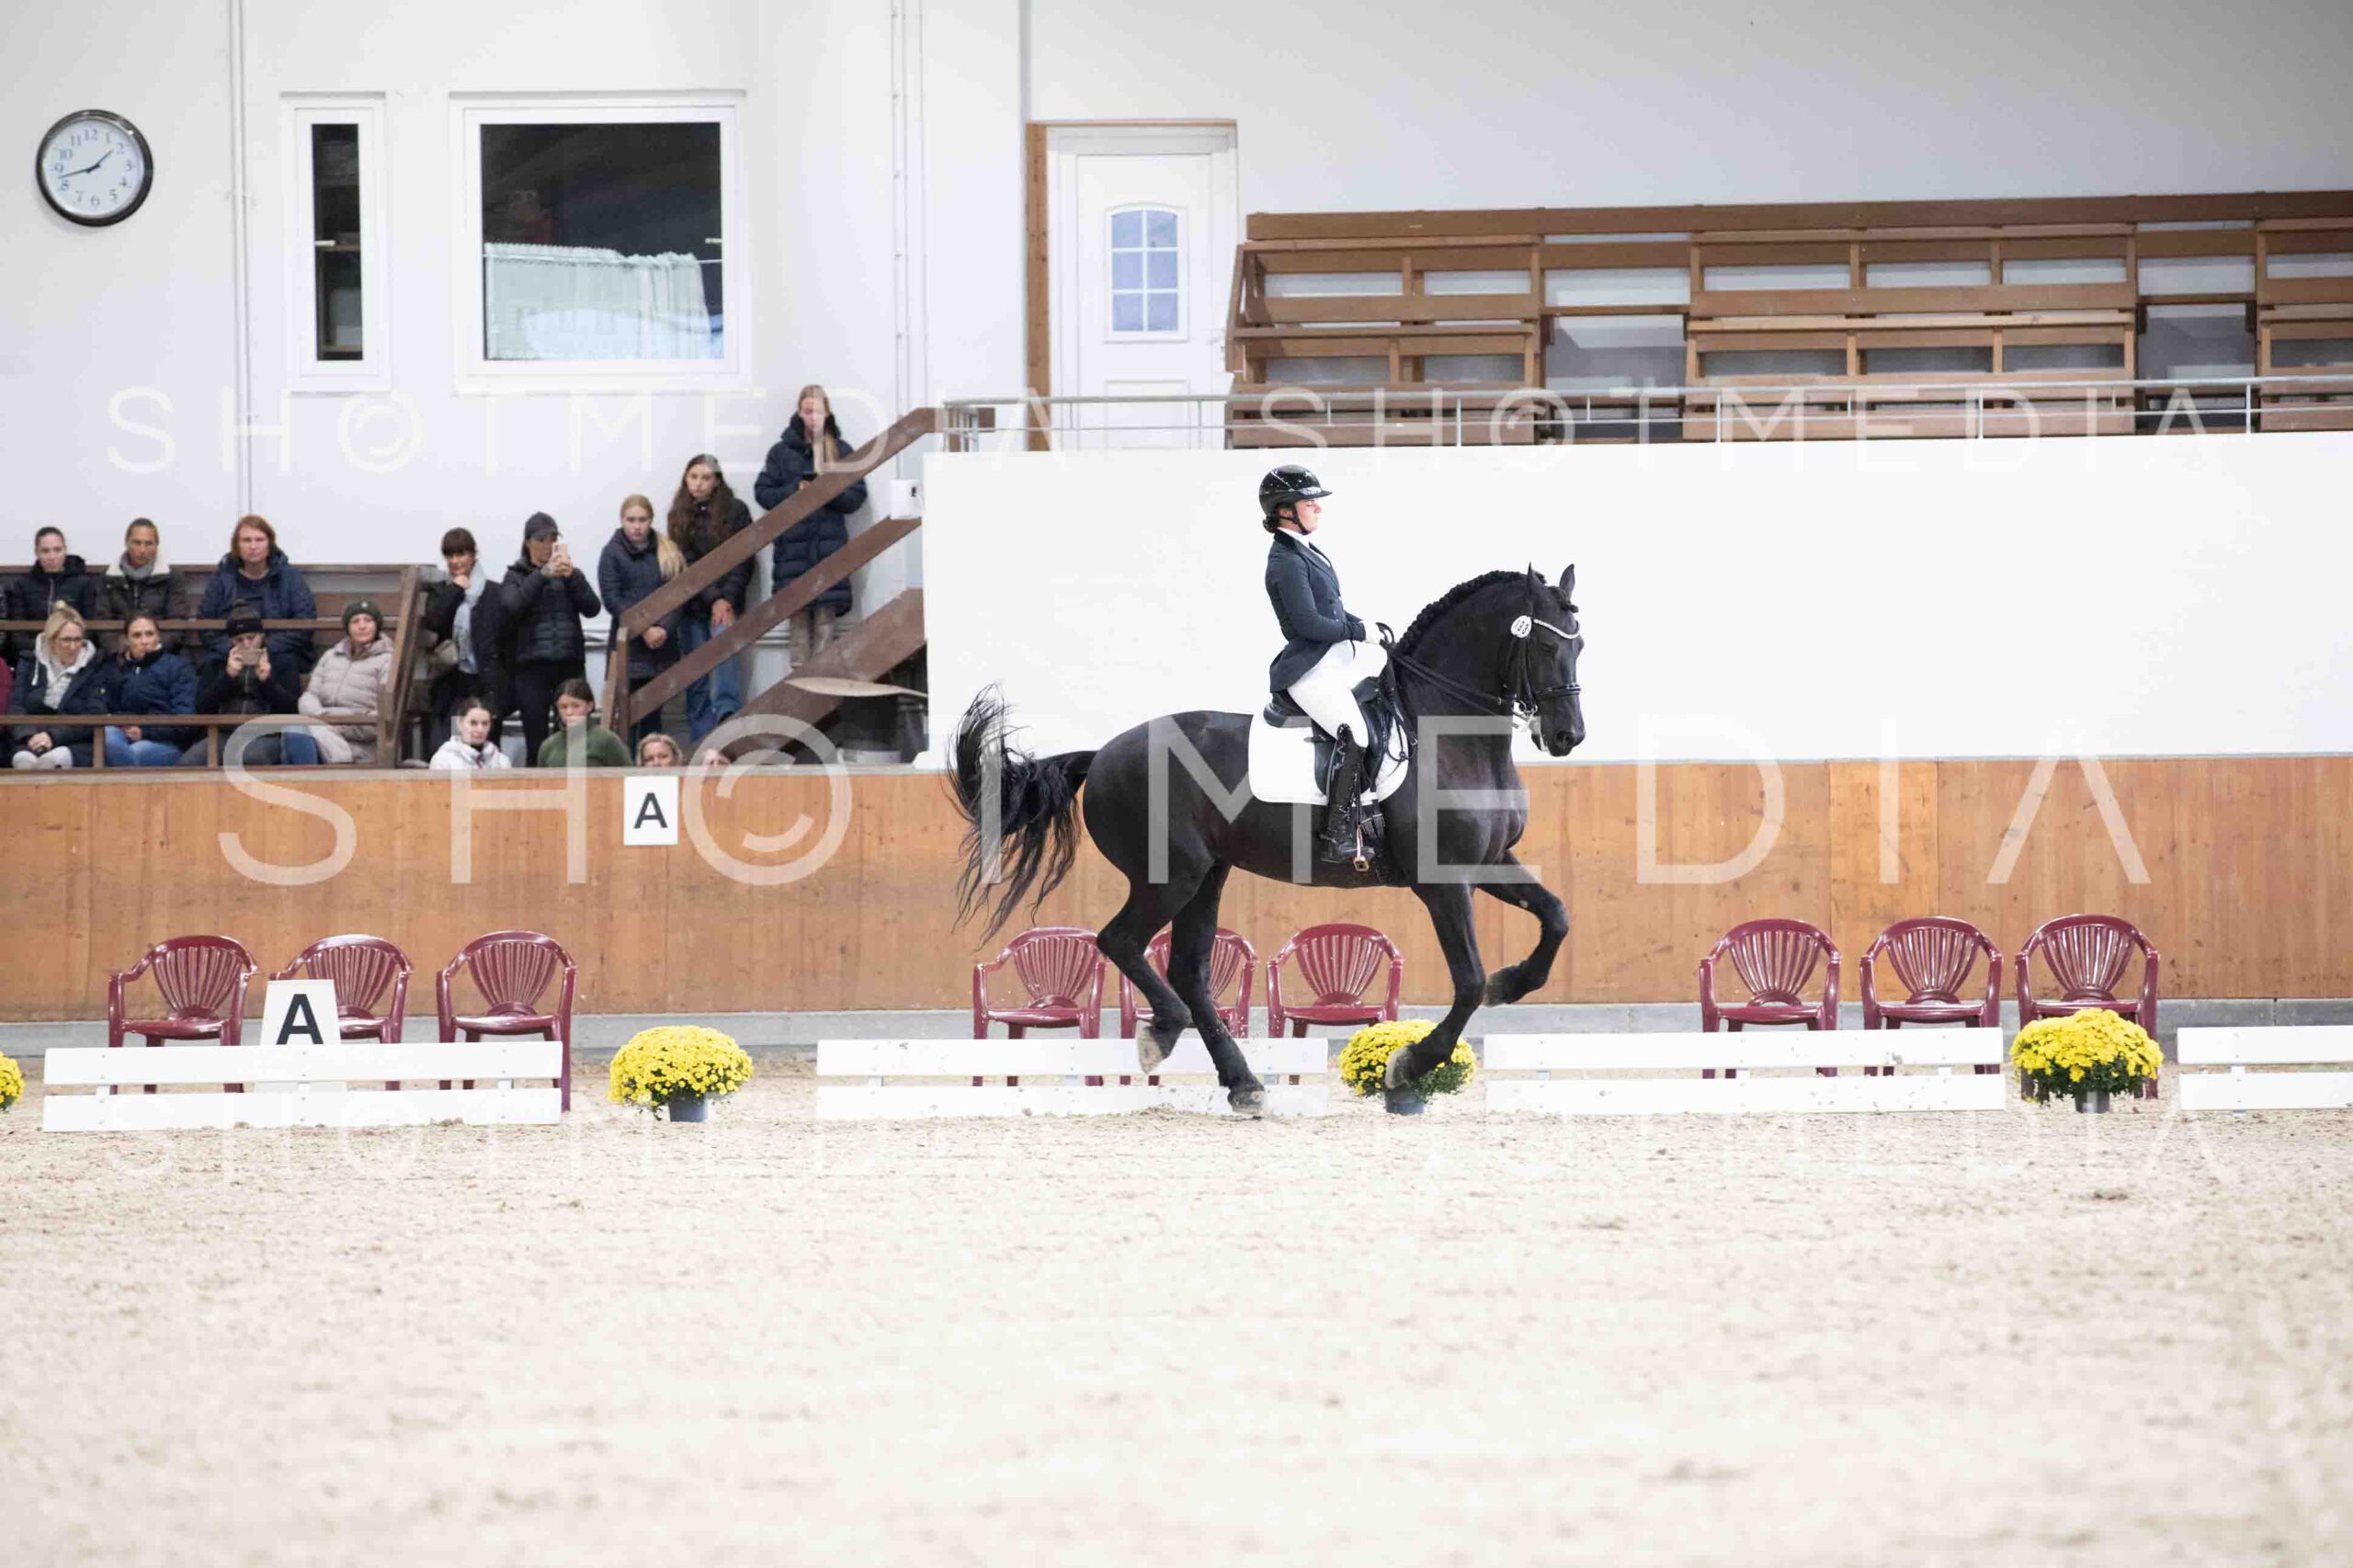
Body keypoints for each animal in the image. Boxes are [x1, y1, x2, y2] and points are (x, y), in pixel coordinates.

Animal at [949, 564, 1585, 1113]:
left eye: (1579, 645)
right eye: (1545, 646)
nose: (1567, 736)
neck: (1448, 735)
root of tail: (1103, 752)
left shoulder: (1490, 862)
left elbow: (1555, 917)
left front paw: (1513, 982)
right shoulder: (1443, 882)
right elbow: (1469, 982)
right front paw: (1407, 1069)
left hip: (1207, 875)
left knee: (1189, 971)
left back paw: (1243, 1084)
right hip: (1169, 876)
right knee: (1121, 942)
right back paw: (1165, 1035)